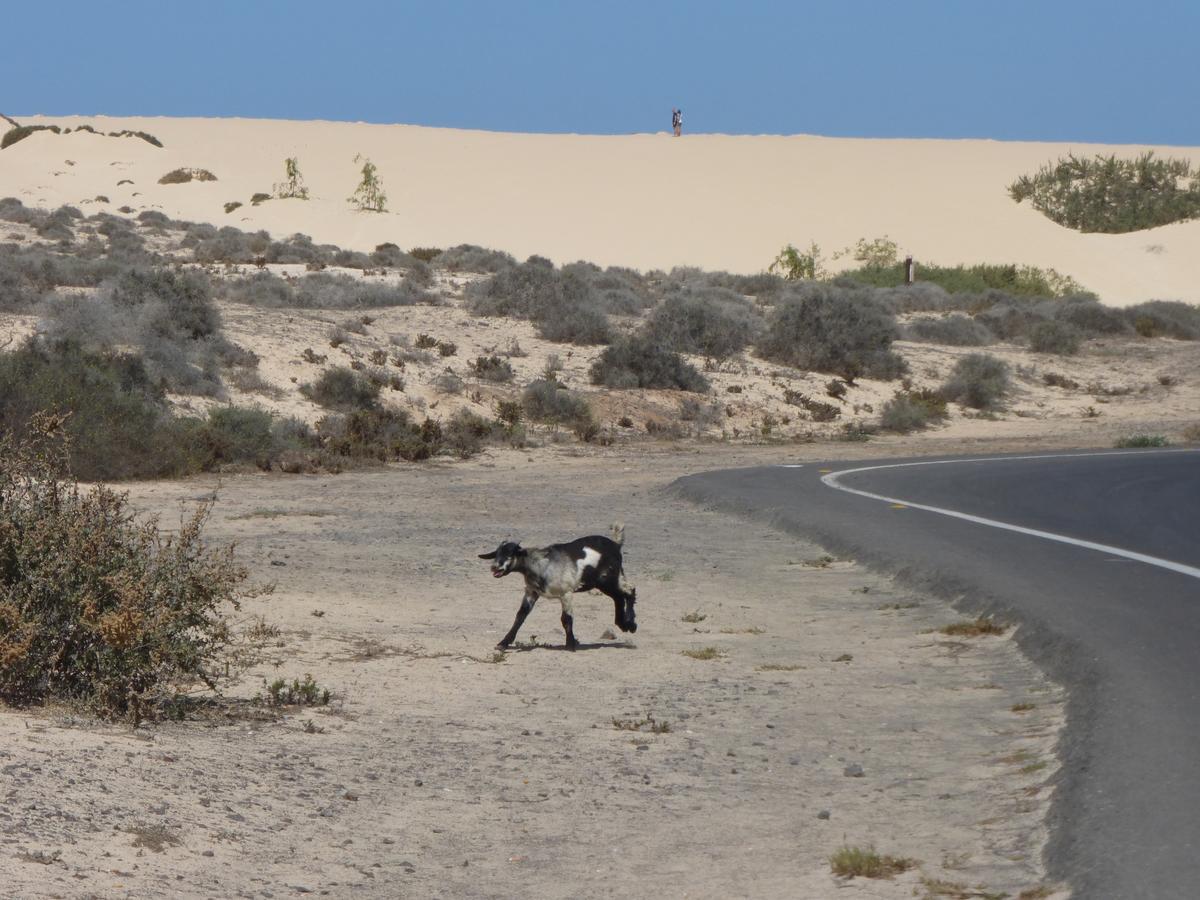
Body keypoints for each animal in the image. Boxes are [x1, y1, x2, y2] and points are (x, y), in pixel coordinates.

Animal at [482, 525, 643, 652]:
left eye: (510, 554)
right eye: (496, 554)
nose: (494, 567)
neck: (541, 565)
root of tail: (616, 545)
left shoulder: (566, 593)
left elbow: (566, 618)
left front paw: (570, 644)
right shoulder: (531, 592)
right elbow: (520, 616)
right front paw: (503, 643)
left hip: (609, 578)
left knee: (629, 590)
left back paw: (631, 624)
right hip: (604, 583)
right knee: (619, 596)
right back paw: (623, 624)